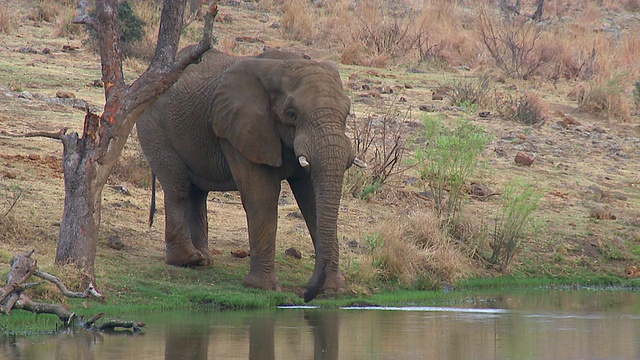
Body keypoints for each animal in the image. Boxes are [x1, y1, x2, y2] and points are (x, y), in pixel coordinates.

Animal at [136, 47, 364, 300]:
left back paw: (203, 261)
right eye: (291, 114)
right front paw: (263, 287)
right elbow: (262, 195)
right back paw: (187, 260)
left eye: (347, 113)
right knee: (179, 188)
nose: (306, 293)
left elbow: (311, 199)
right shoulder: (239, 128)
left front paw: (334, 290)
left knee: (197, 193)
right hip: (154, 128)